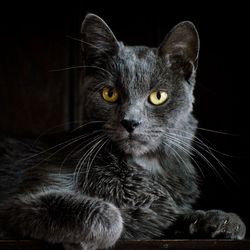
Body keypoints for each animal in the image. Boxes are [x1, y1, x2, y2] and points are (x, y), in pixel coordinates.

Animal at [0, 13, 246, 250]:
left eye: (158, 96)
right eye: (109, 93)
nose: (130, 122)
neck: (144, 167)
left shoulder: (166, 210)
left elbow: (176, 215)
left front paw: (223, 220)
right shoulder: (20, 201)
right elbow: (110, 217)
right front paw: (85, 239)